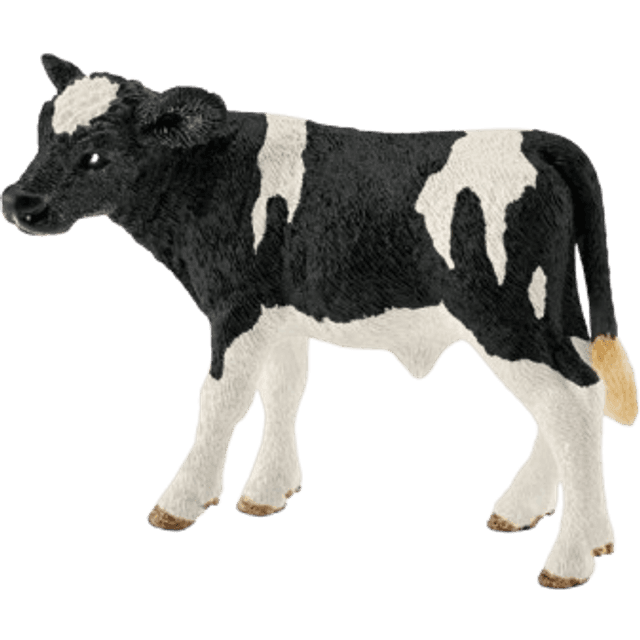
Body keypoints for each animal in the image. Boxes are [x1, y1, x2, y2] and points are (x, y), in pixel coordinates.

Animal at [1, 53, 638, 590]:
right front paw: (267, 491)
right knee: (573, 396)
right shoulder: (281, 314)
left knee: (571, 401)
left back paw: (569, 559)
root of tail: (535, 138)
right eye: (41, 134)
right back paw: (550, 519)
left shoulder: (238, 306)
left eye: (96, 154)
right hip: (557, 310)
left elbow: (222, 400)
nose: (19, 203)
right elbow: (283, 390)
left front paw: (182, 500)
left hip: (504, 316)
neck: (207, 175)